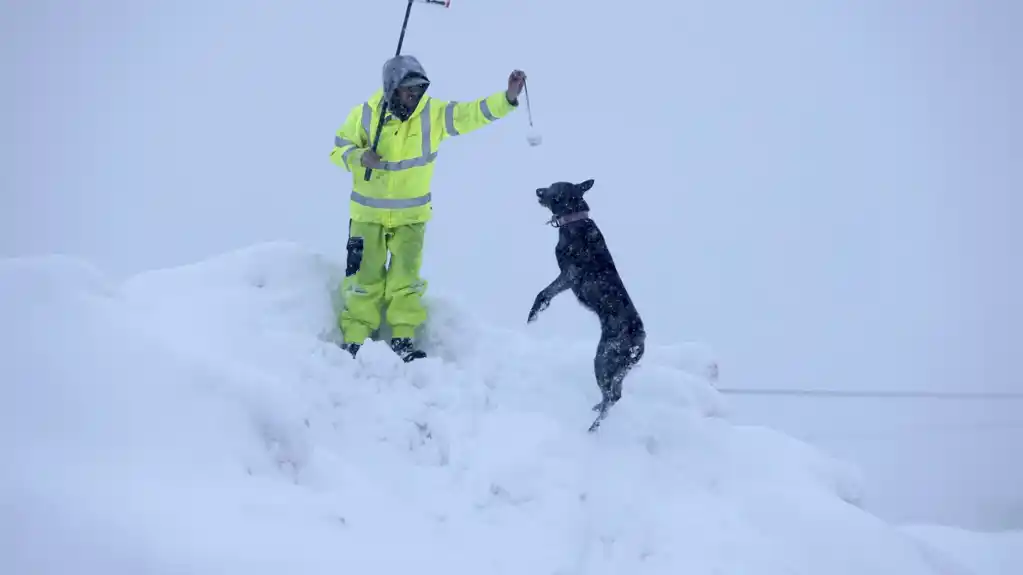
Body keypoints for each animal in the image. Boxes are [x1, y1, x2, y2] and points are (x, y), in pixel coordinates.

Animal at [531, 177, 642, 419]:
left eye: (553, 187)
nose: (537, 190)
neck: (574, 220)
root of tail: (640, 342)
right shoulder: (566, 280)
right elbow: (547, 293)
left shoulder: (569, 275)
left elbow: (544, 292)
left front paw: (534, 314)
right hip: (617, 368)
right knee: (614, 394)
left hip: (604, 359)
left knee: (612, 396)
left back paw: (594, 423)